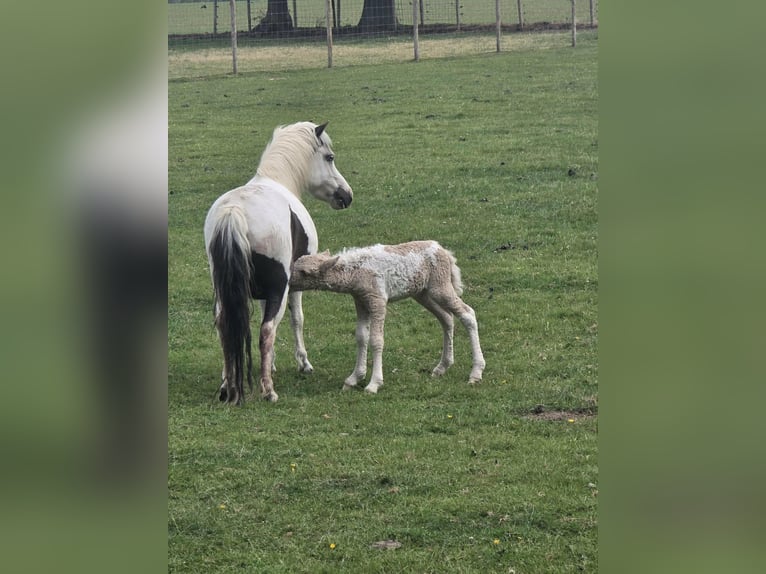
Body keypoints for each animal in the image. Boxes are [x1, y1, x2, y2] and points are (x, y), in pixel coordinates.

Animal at [204, 121, 353, 405]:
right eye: (330, 157)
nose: (347, 196)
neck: (278, 180)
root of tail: (234, 212)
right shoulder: (294, 283)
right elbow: (297, 320)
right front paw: (303, 363)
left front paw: (271, 363)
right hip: (280, 288)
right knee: (267, 330)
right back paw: (268, 391)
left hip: (224, 289)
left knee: (223, 326)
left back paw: (227, 386)